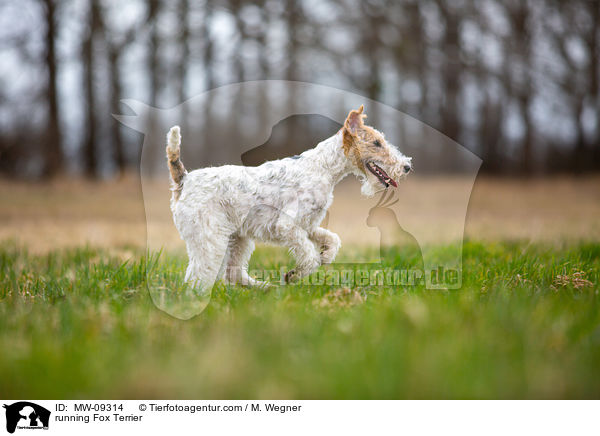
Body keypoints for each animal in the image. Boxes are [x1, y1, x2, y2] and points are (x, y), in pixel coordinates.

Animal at [168, 104, 412, 292]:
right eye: (377, 143)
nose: (407, 166)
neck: (322, 168)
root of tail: (184, 179)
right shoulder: (287, 225)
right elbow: (309, 257)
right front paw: (294, 275)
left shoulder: (308, 225)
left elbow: (332, 240)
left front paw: (325, 256)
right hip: (210, 239)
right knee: (197, 276)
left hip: (238, 238)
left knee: (232, 273)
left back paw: (266, 289)